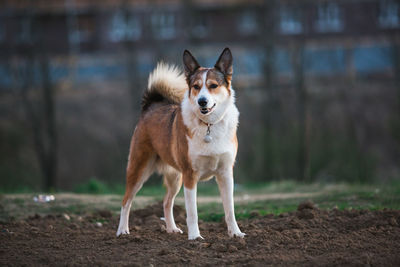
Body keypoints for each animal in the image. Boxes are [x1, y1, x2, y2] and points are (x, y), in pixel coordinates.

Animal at [117, 48, 245, 241]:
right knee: (126, 201)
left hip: (176, 177)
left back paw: (171, 228)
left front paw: (235, 233)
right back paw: (122, 231)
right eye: (196, 86)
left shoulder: (225, 174)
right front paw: (195, 237)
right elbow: (192, 212)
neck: (208, 125)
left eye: (213, 85)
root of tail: (150, 107)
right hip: (139, 170)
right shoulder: (190, 176)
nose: (202, 101)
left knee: (166, 202)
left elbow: (230, 209)